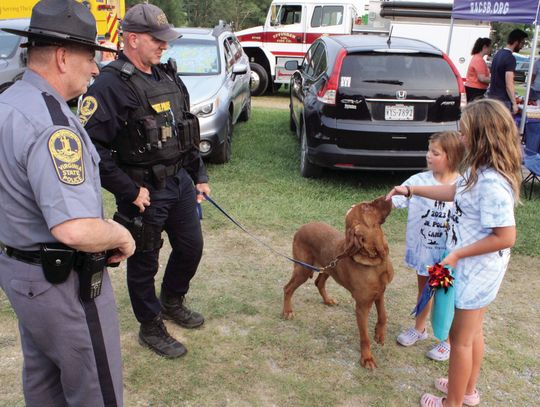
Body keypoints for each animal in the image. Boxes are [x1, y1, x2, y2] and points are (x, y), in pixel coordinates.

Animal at [282, 197, 392, 370]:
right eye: (366, 207)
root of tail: (302, 227)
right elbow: (364, 337)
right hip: (303, 270)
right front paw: (367, 358)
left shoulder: (379, 293)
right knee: (287, 288)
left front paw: (379, 334)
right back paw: (287, 311)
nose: (386, 196)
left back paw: (327, 300)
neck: (375, 258)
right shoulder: (362, 307)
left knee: (319, 283)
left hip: (328, 268)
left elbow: (383, 315)